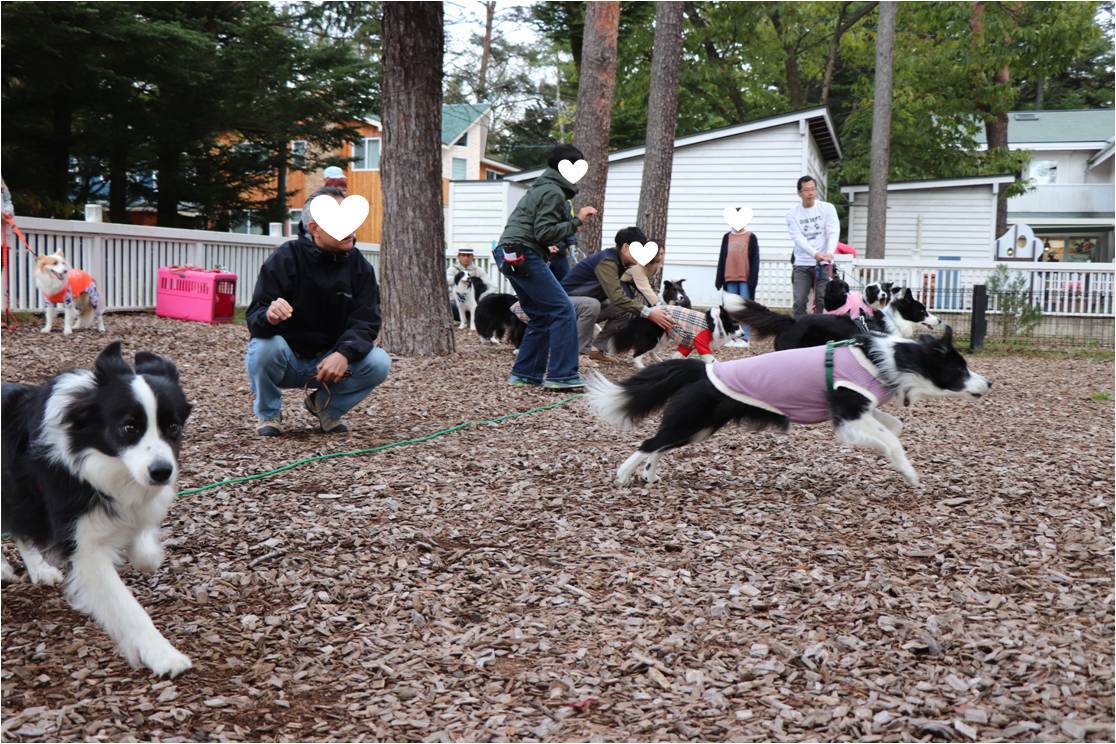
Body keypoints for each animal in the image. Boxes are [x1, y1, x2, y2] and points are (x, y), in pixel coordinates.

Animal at [1, 341, 194, 678]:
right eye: (129, 427)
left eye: (173, 427)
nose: (162, 472)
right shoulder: (84, 548)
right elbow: (127, 608)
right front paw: (163, 655)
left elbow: (142, 539)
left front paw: (145, 553)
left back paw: (39, 569)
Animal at [584, 325, 986, 488]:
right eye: (960, 370)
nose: (989, 383)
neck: (892, 359)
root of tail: (702, 369)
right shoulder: (847, 417)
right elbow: (892, 441)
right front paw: (910, 474)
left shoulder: (858, 410)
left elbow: (891, 427)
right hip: (693, 419)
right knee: (649, 443)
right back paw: (623, 476)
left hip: (698, 427)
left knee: (660, 445)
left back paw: (651, 475)